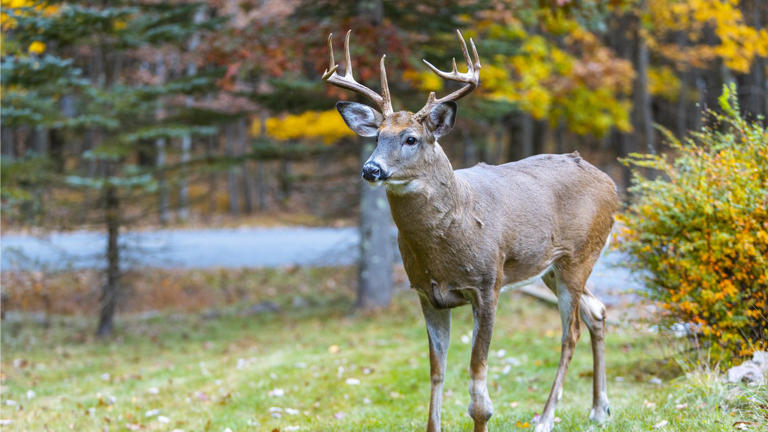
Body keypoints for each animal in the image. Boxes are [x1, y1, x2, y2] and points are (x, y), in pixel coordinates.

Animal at [322, 29, 618, 432]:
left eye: (411, 138)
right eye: (378, 136)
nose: (371, 169)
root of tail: (610, 183)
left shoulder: (487, 285)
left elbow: (478, 383)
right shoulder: (426, 294)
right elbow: (436, 372)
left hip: (579, 255)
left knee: (569, 332)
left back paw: (545, 418)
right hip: (552, 268)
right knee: (597, 311)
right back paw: (599, 409)